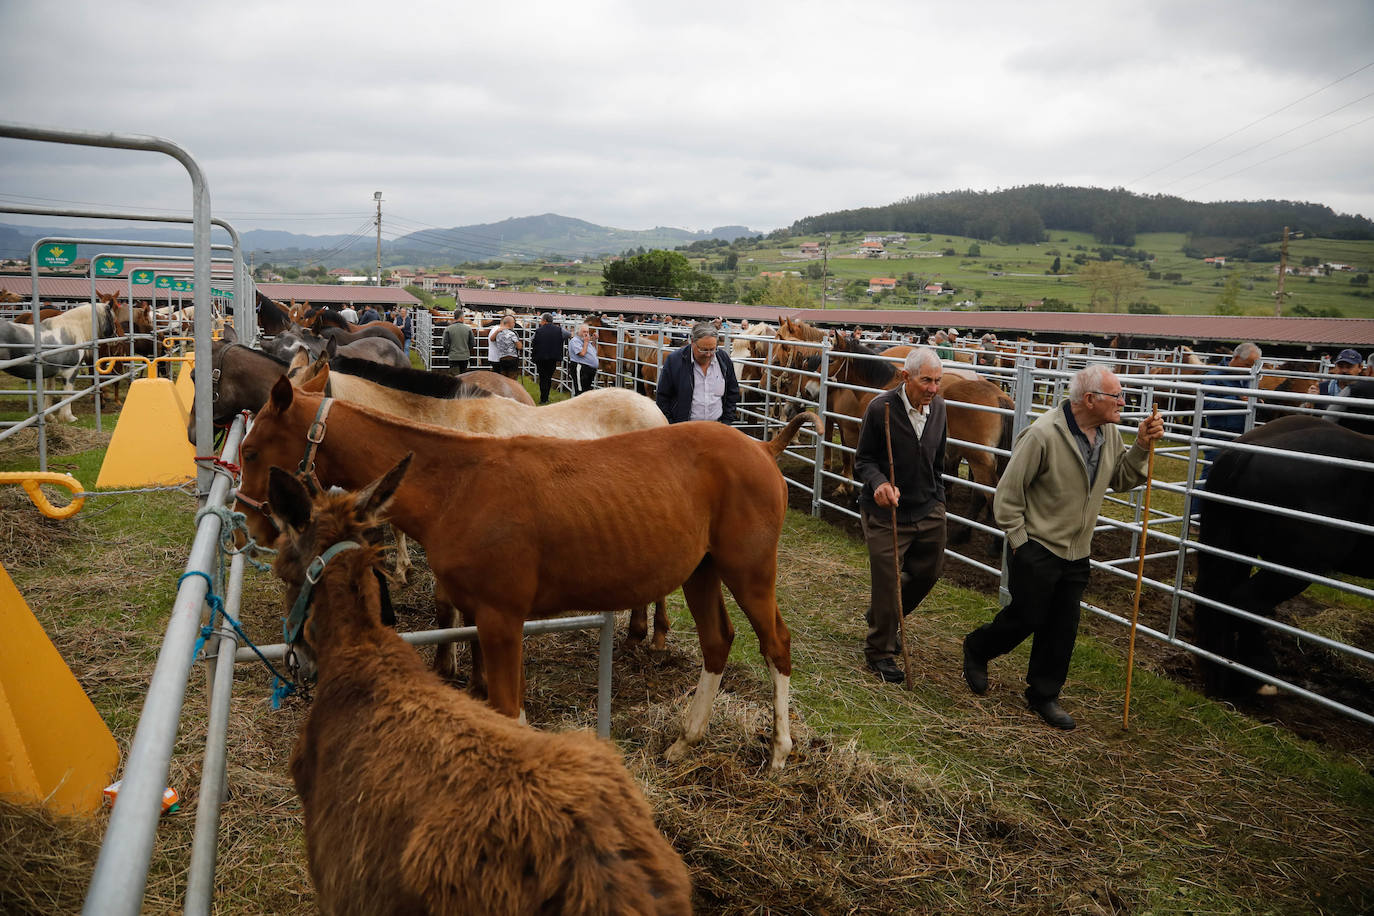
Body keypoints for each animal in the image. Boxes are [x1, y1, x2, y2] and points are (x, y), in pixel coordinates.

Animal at [233, 376, 796, 769]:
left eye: (251, 450)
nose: (250, 524)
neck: (458, 486)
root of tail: (762, 448)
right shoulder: (490, 618)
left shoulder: (501, 619)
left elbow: (508, 708)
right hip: (701, 571)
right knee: (717, 641)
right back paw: (685, 740)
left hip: (749, 570)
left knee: (776, 643)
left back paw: (779, 753)